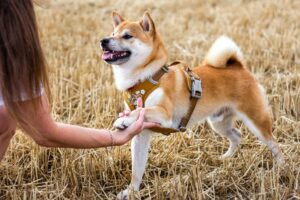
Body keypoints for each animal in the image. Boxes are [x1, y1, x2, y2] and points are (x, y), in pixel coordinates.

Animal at [100, 11, 284, 199]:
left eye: (127, 36)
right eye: (112, 33)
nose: (103, 41)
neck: (145, 78)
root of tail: (238, 67)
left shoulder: (164, 114)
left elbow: (141, 110)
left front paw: (123, 120)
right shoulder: (141, 134)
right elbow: (137, 168)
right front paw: (131, 191)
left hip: (256, 121)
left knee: (274, 143)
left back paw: (280, 168)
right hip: (218, 123)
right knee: (236, 135)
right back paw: (226, 158)